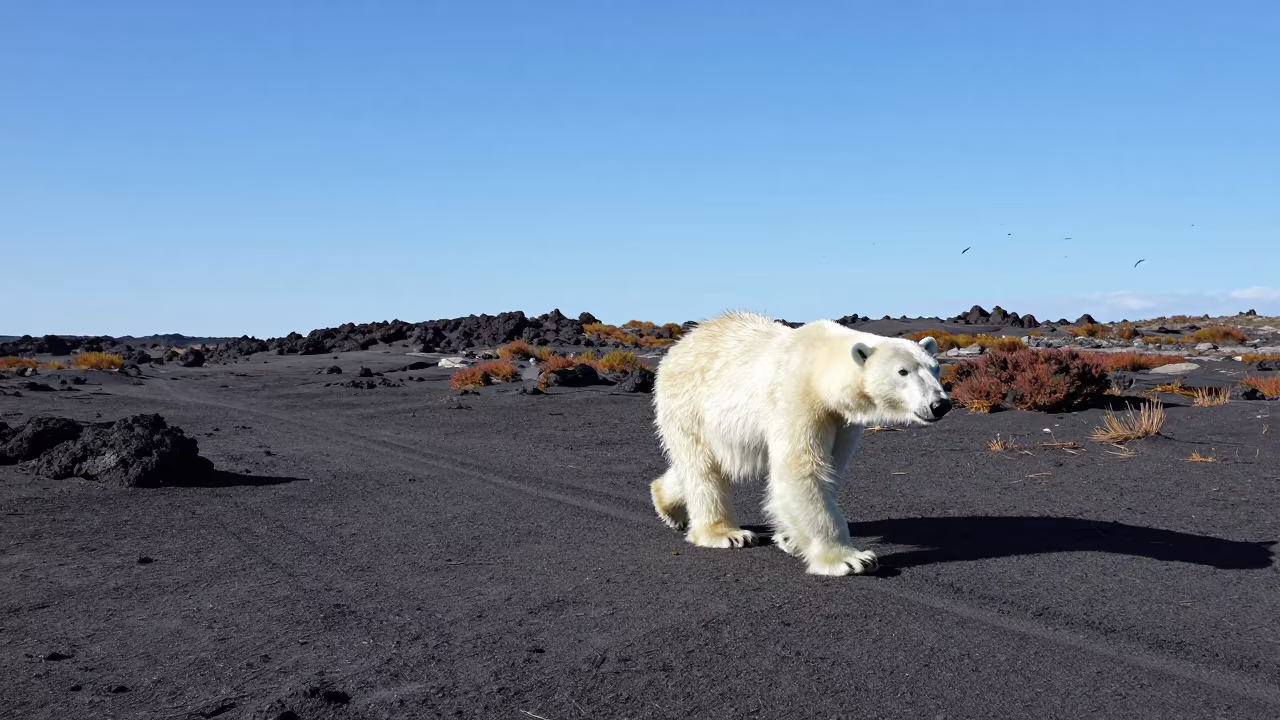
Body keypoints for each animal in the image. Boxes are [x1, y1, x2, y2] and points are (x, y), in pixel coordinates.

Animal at [649, 311, 951, 576]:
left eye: (935, 368)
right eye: (903, 372)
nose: (940, 404)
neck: (820, 365)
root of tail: (678, 347)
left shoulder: (841, 421)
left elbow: (831, 468)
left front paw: (789, 539)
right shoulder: (797, 397)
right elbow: (802, 470)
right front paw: (851, 560)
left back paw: (666, 503)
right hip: (690, 403)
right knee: (702, 467)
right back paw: (726, 533)